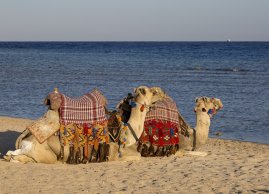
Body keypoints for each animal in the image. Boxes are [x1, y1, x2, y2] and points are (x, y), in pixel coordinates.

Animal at [4, 85, 162, 163]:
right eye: (151, 91)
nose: (162, 93)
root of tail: (25, 137)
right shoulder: (113, 154)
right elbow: (137, 156)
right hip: (45, 154)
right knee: (18, 157)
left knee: (12, 155)